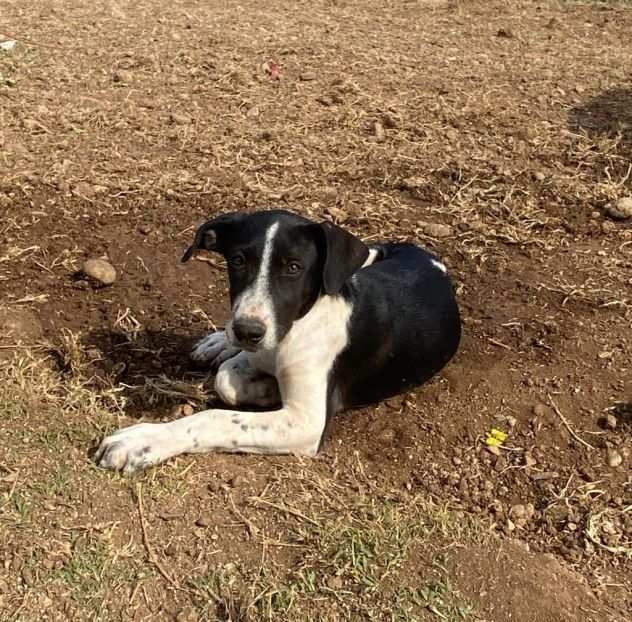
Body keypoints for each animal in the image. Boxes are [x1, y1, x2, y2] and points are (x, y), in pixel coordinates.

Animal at [95, 212, 460, 476]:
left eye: (294, 268)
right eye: (238, 260)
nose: (247, 331)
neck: (295, 327)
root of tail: (426, 257)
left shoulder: (306, 423)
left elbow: (216, 417)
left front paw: (144, 441)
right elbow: (226, 379)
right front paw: (262, 384)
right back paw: (219, 342)